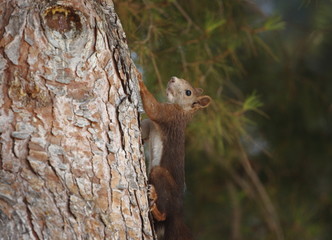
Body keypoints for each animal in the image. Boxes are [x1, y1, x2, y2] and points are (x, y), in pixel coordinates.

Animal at [138, 75, 211, 240]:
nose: (172, 78)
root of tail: (178, 215)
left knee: (165, 214)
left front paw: (138, 78)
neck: (181, 111)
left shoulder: (168, 116)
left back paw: (154, 201)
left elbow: (153, 108)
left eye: (188, 92)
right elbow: (143, 131)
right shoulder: (151, 126)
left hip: (160, 175)